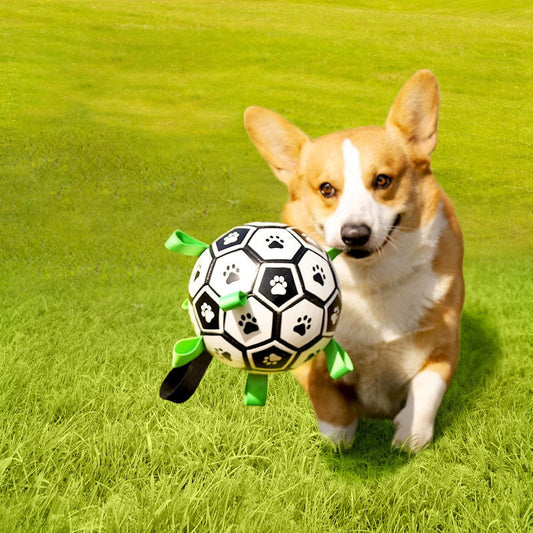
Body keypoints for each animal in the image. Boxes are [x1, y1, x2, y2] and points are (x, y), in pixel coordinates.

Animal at [243, 69, 464, 454]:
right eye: (327, 189)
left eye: (383, 180)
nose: (355, 234)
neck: (371, 278)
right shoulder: (304, 358)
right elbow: (326, 398)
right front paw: (339, 439)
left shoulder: (444, 342)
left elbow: (427, 388)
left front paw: (411, 436)